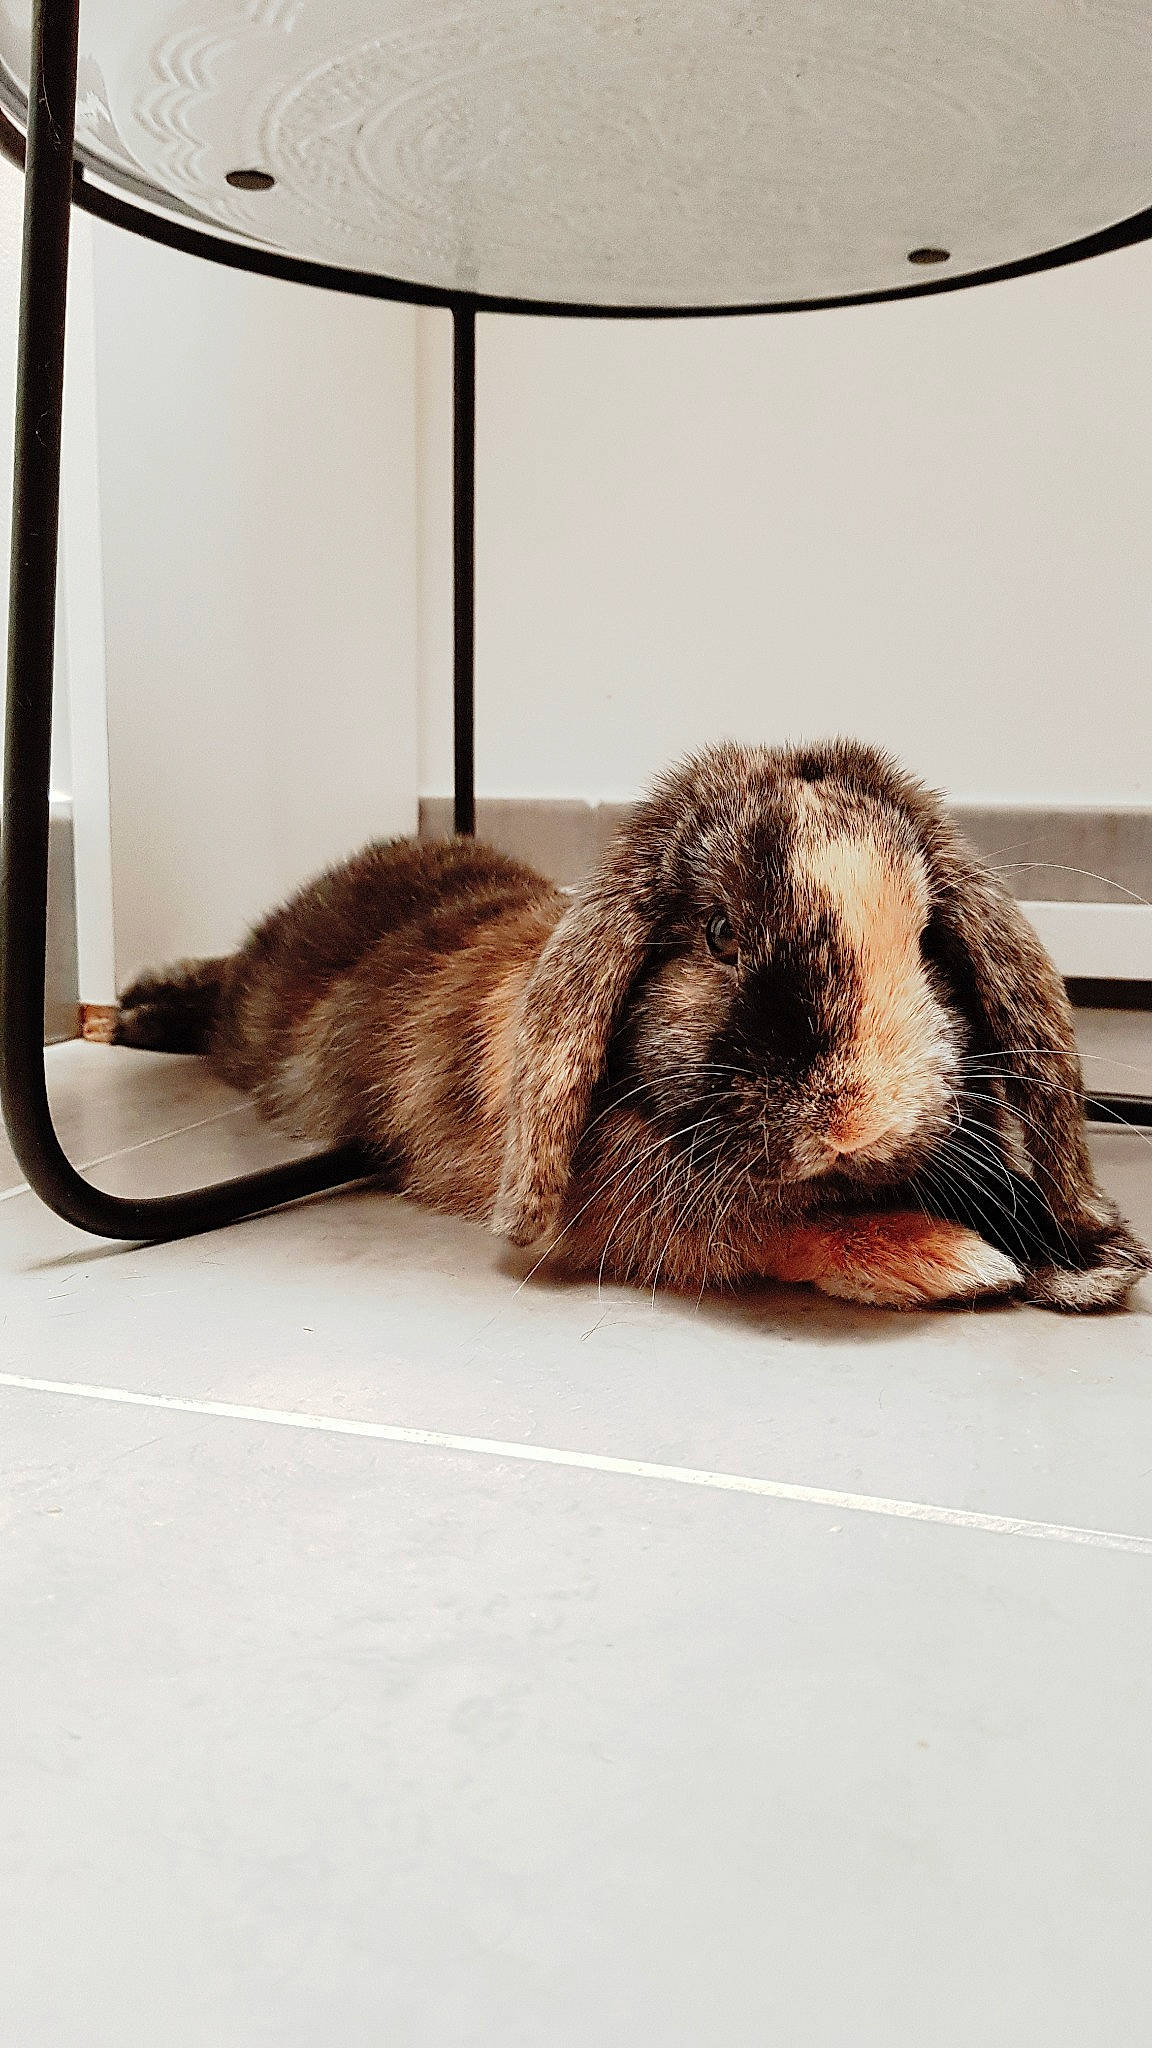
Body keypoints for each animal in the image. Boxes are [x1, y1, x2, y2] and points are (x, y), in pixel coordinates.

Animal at [113, 739, 1149, 1312]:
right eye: (720, 934)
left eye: (929, 939)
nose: (858, 1120)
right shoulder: (626, 1207)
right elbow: (769, 1221)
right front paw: (951, 1259)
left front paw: (1074, 1258)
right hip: (254, 1010)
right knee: (220, 989)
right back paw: (134, 1009)